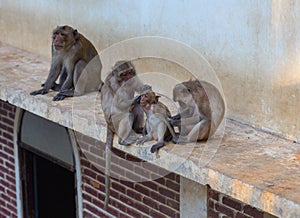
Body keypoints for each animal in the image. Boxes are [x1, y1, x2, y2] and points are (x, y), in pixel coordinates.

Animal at [99, 59, 144, 208]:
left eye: (130, 72)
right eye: (123, 74)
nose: (129, 78)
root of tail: (108, 124)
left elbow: (139, 87)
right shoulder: (114, 82)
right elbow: (120, 103)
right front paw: (136, 98)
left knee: (136, 108)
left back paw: (138, 129)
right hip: (113, 123)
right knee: (124, 113)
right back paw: (123, 140)